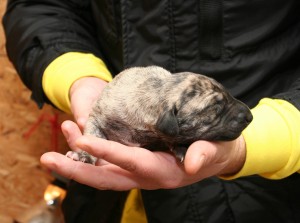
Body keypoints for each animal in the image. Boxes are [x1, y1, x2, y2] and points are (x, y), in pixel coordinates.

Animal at [67, 65, 252, 163]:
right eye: (215, 107)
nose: (250, 116)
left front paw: (180, 147)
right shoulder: (97, 117)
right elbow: (93, 134)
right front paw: (84, 156)